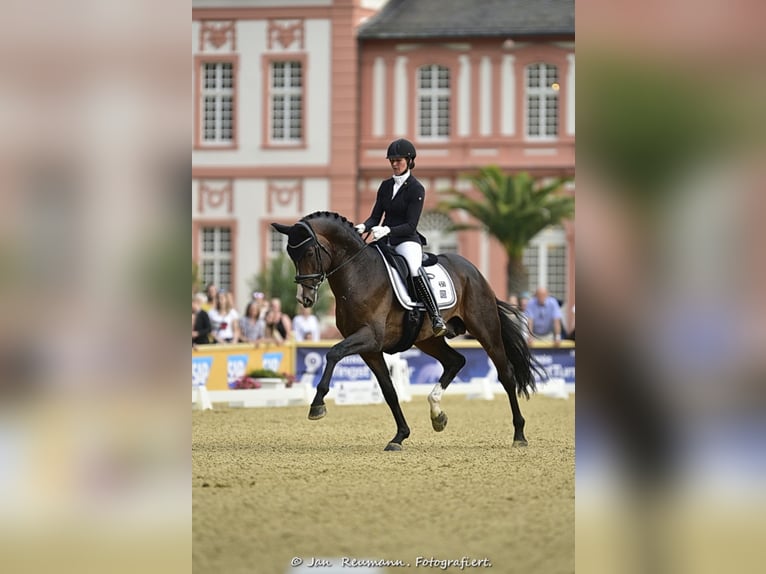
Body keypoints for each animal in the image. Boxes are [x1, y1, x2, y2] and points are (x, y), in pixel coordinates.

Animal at [272, 209, 544, 452]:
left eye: (309, 251)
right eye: (290, 254)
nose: (304, 299)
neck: (358, 273)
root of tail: (475, 272)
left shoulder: (370, 337)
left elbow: (333, 353)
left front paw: (317, 405)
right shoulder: (370, 349)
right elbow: (389, 391)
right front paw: (399, 436)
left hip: (486, 330)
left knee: (506, 375)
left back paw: (519, 434)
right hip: (428, 340)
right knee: (456, 361)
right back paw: (437, 415)